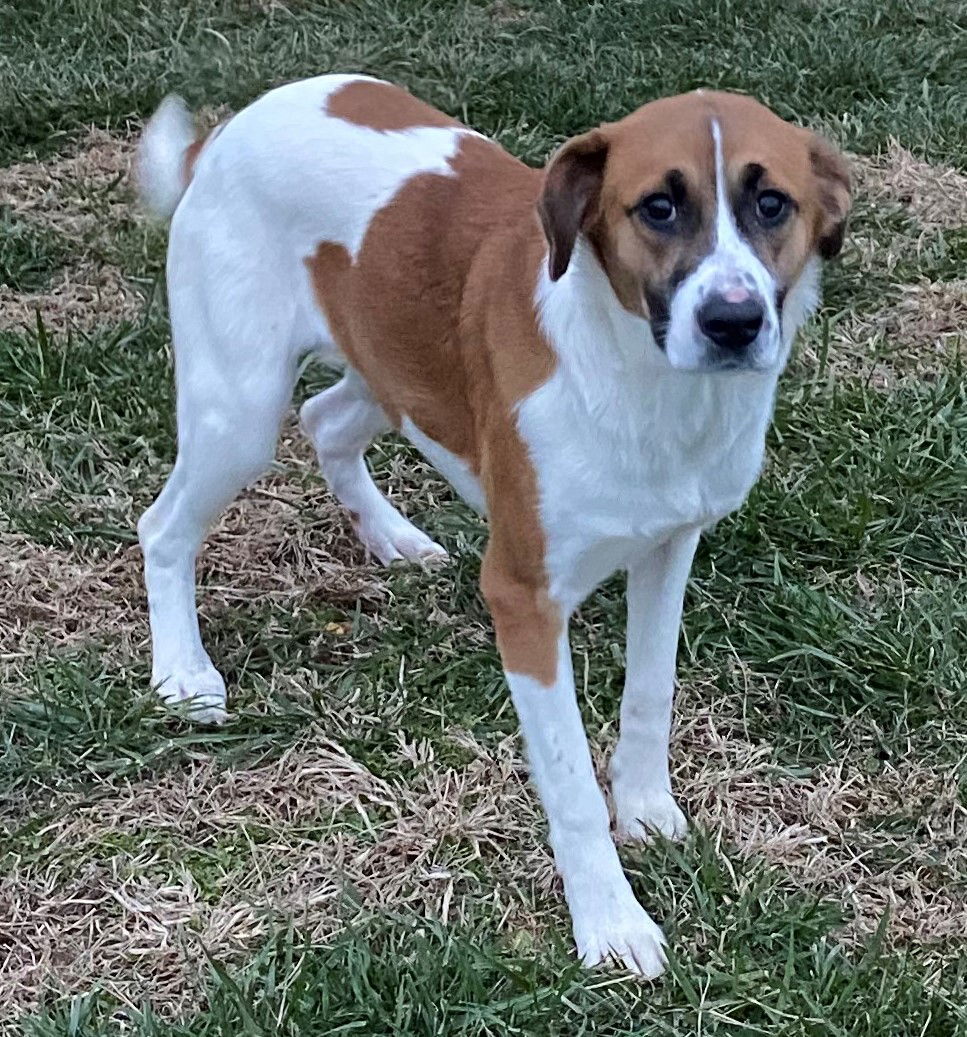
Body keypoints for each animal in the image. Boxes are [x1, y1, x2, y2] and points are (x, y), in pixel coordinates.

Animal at [137, 76, 854, 974]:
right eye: (657, 207)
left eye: (770, 203)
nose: (733, 322)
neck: (646, 384)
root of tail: (231, 129)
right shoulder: (522, 595)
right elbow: (569, 779)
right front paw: (609, 919)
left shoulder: (669, 544)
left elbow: (649, 691)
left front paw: (644, 805)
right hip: (236, 407)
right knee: (164, 524)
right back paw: (182, 671)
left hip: (389, 363)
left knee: (326, 419)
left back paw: (392, 536)